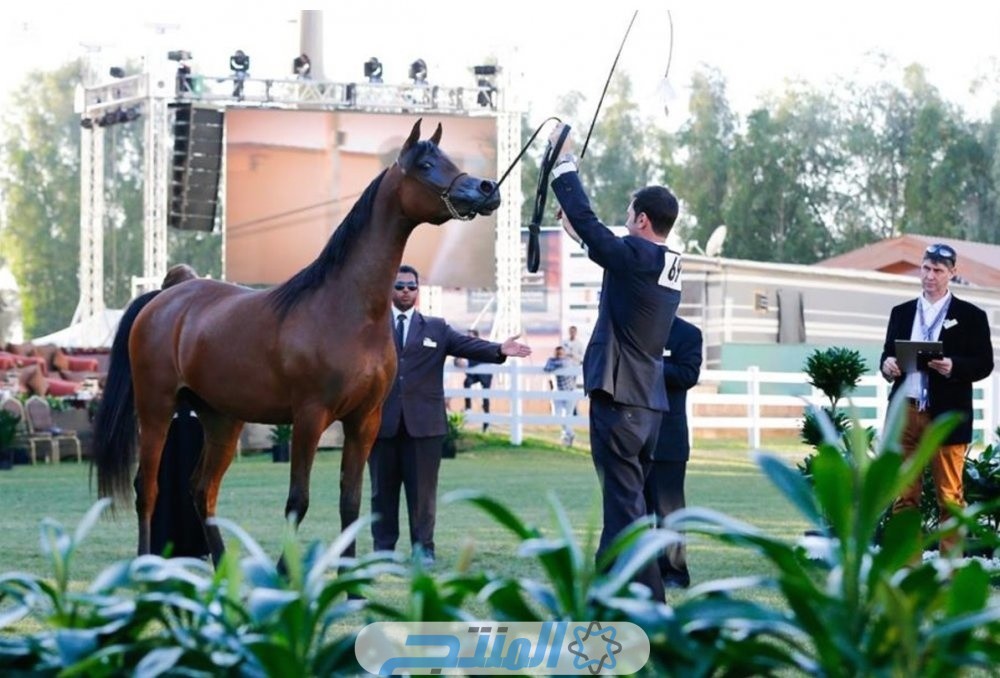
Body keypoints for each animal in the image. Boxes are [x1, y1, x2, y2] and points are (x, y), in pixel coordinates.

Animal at [92, 119, 500, 564]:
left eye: (449, 160)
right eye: (426, 165)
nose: (486, 189)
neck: (346, 309)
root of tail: (165, 298)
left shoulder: (365, 421)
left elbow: (351, 503)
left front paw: (349, 577)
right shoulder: (309, 418)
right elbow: (297, 502)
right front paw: (286, 573)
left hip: (222, 418)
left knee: (202, 490)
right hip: (156, 408)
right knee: (146, 488)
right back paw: (145, 566)